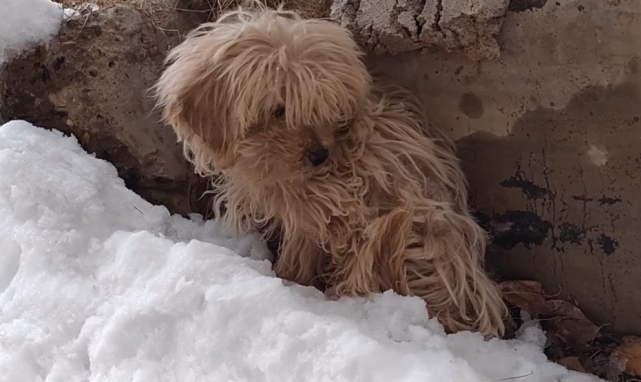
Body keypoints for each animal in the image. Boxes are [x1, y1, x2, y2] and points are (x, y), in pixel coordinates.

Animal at [152, 3, 508, 338]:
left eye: (328, 109)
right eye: (278, 110)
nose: (321, 155)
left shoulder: (340, 211)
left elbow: (306, 251)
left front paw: (290, 281)